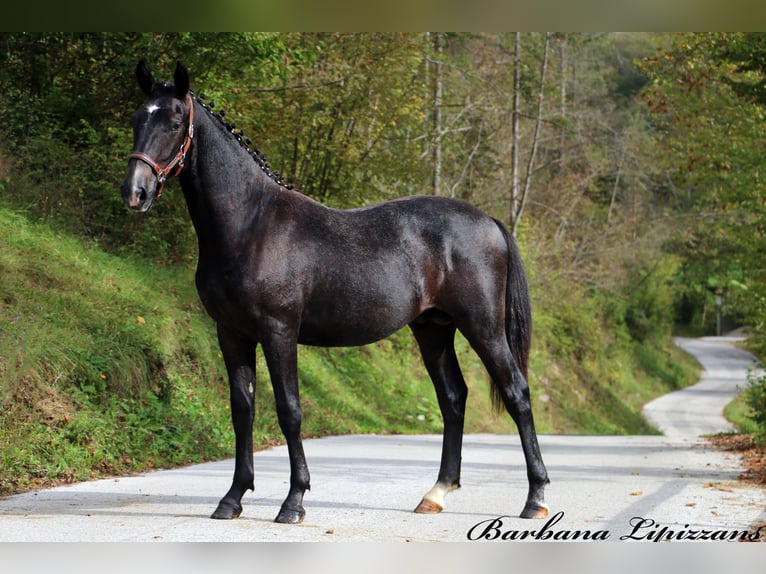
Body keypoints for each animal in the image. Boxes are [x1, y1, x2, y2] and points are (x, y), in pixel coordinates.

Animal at [120, 62, 548, 528]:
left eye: (175, 121)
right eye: (137, 118)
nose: (135, 192)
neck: (251, 224)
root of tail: (489, 222)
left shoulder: (278, 331)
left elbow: (289, 410)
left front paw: (294, 501)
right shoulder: (231, 333)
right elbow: (242, 410)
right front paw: (232, 498)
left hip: (483, 326)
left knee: (517, 393)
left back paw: (535, 498)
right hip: (433, 329)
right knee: (453, 398)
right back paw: (436, 493)